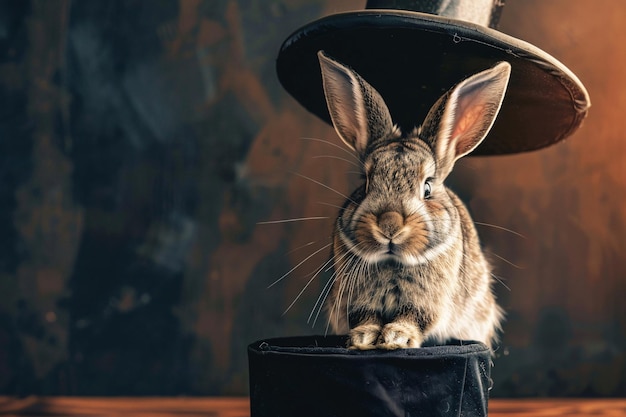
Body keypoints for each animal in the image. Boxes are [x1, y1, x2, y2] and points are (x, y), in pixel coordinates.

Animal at [316, 52, 508, 352]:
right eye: (365, 182)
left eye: (427, 187)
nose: (389, 226)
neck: (393, 262)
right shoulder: (356, 300)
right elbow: (366, 318)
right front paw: (363, 339)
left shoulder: (428, 302)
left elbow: (413, 317)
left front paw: (396, 338)